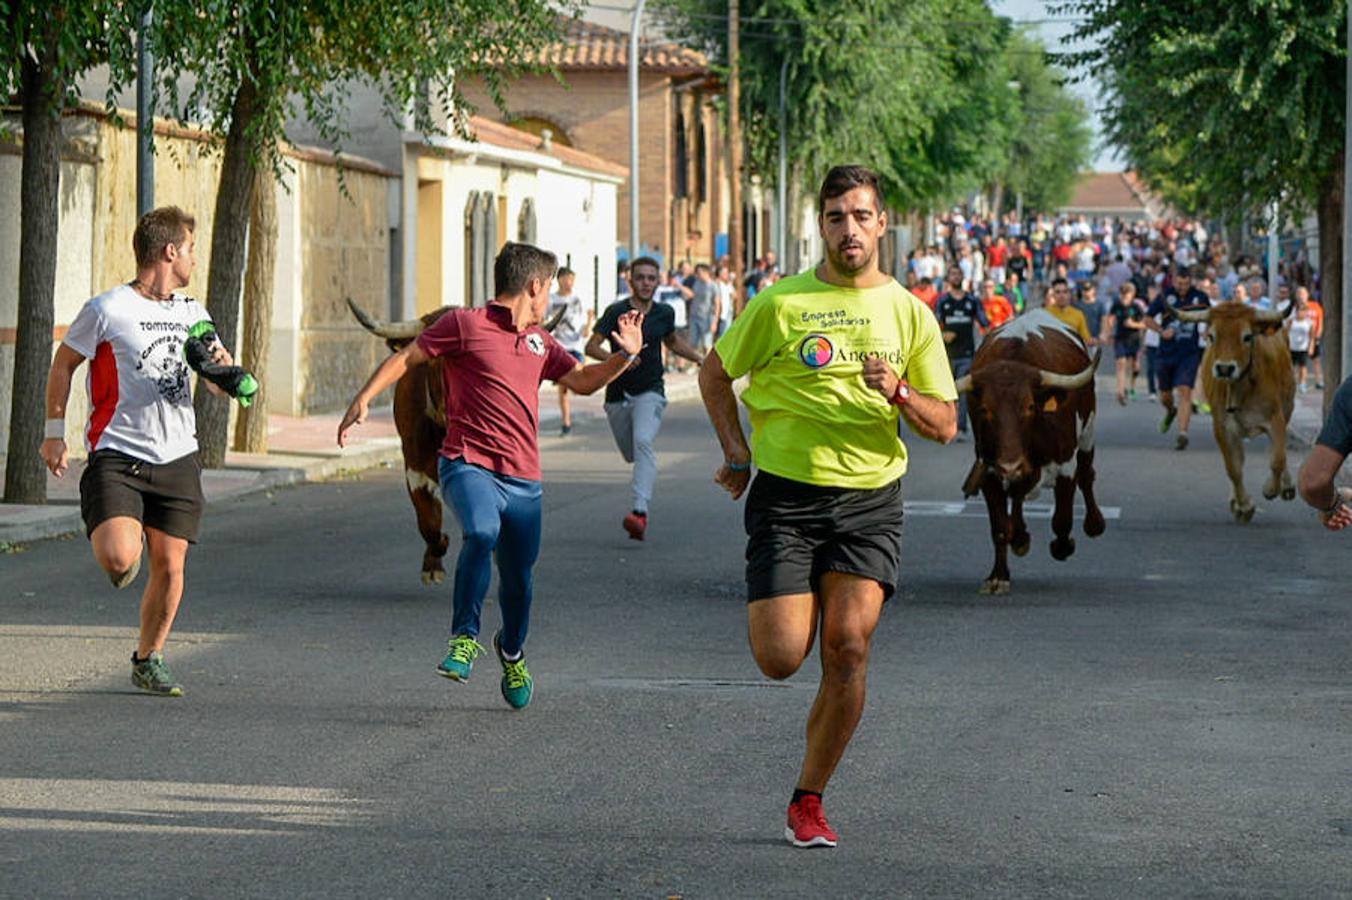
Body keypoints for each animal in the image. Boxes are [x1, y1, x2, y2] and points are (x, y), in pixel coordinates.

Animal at [957, 308, 1103, 594]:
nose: (1011, 464)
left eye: (1030, 407)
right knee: (1018, 495)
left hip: (1087, 432)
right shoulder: (988, 467)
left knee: (1087, 474)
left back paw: (1094, 523)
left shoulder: (1065, 465)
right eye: (984, 410)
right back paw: (1020, 536)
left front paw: (1062, 546)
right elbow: (1000, 526)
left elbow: (1062, 518)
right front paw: (998, 576)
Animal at [1178, 301, 1292, 518]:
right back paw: (1236, 501)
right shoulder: (1223, 428)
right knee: (1239, 458)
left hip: (1288, 409)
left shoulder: (1276, 419)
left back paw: (1287, 486)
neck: (1242, 388)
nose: (1224, 368)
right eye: (1211, 336)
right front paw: (1244, 505)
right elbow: (1233, 468)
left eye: (1247, 336)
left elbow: (1278, 459)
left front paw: (1270, 489)